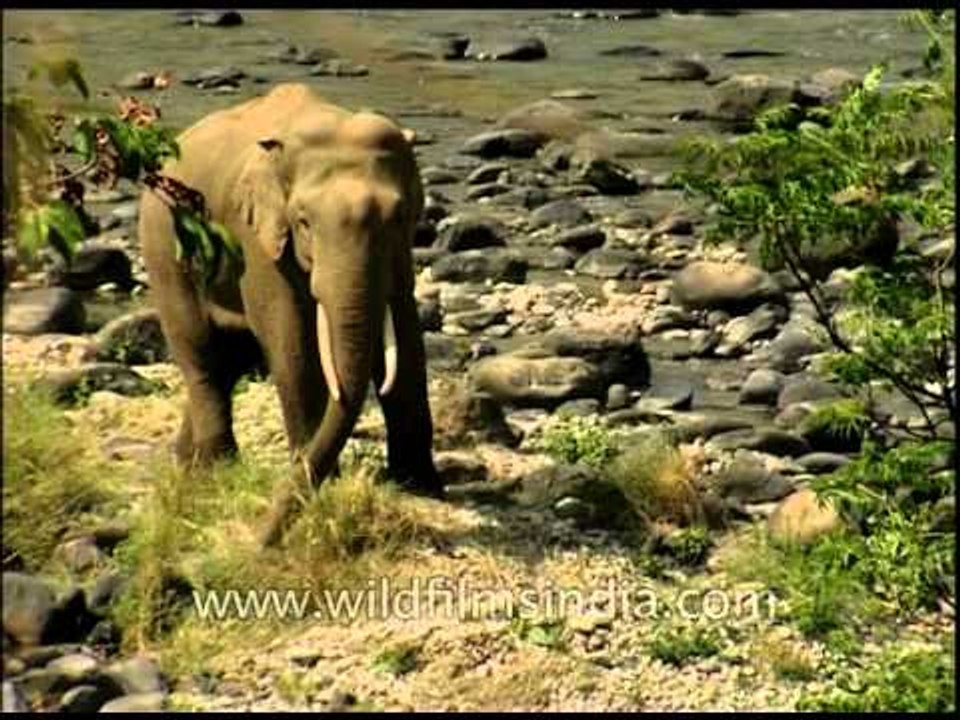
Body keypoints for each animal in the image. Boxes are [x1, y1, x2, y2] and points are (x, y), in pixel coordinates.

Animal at [138, 83, 442, 547]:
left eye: (400, 217)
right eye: (303, 222)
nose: (259, 540)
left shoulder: (400, 254)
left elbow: (406, 337)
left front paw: (422, 487)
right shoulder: (257, 241)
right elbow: (292, 341)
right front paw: (325, 482)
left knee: (228, 360)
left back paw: (186, 465)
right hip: (164, 247)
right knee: (199, 352)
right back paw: (218, 471)